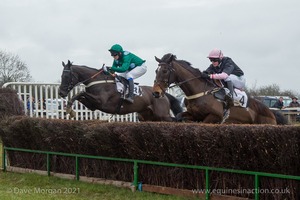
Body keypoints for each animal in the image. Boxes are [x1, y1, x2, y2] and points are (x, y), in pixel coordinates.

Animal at [154, 54, 288, 124]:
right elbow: (179, 116)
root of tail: (271, 112)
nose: (156, 93)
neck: (199, 92)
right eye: (156, 70)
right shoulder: (193, 114)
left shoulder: (214, 117)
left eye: (165, 71)